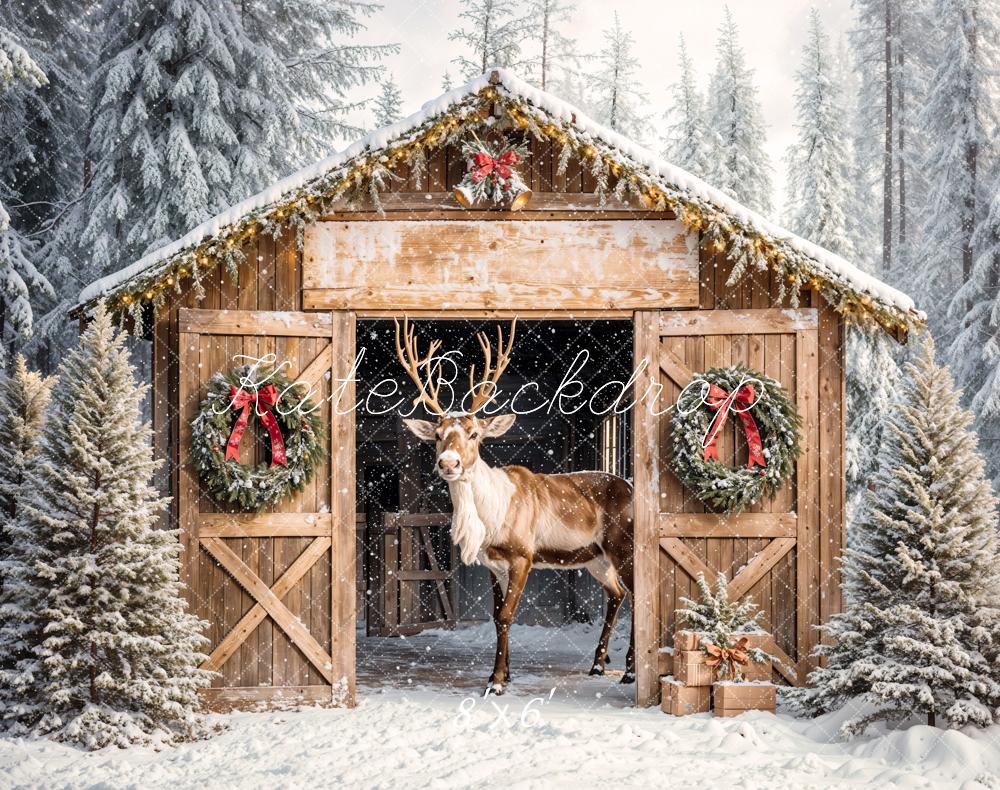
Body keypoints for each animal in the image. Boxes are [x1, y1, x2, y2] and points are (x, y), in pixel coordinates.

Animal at [394, 317, 635, 696]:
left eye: (474, 433)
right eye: (437, 434)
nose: (448, 463)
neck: (490, 520)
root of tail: (633, 487)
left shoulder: (523, 555)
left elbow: (507, 615)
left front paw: (495, 683)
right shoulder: (493, 564)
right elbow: (496, 616)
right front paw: (503, 675)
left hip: (624, 545)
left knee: (641, 594)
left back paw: (629, 671)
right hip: (596, 558)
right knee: (617, 593)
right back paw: (598, 664)